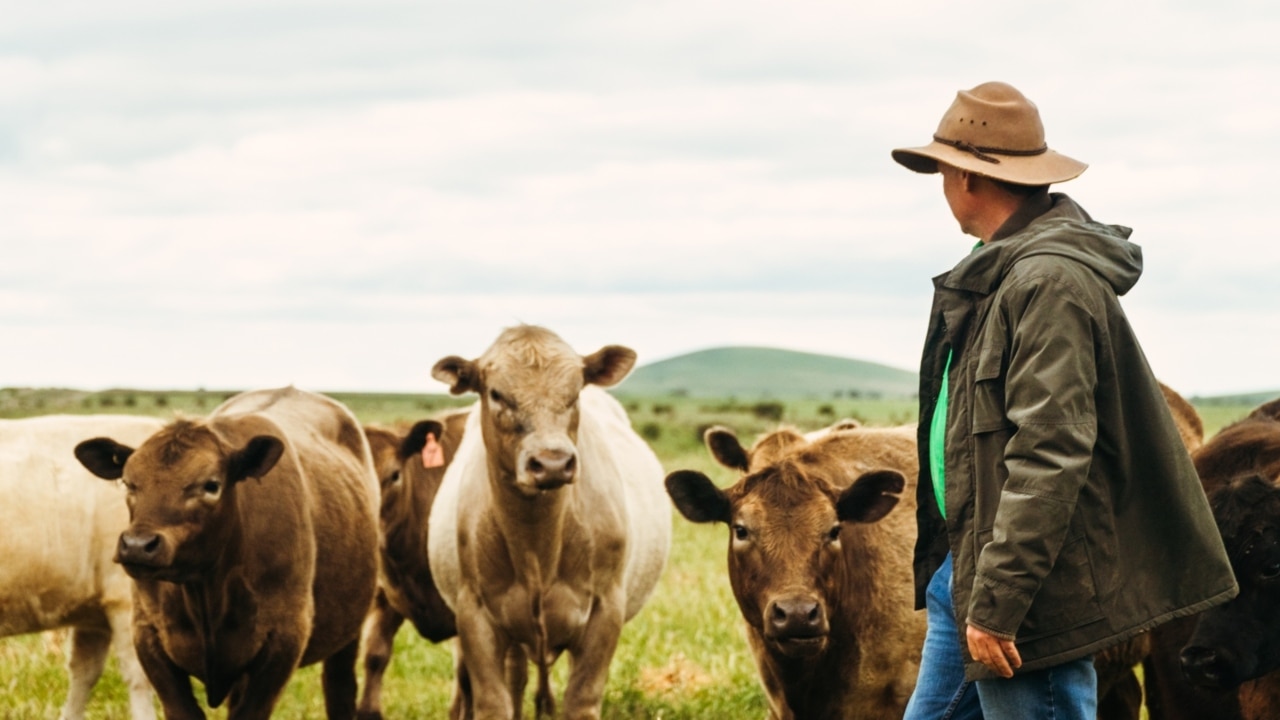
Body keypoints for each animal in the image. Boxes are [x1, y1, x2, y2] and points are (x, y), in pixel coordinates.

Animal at [73, 386, 378, 717]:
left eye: (211, 485)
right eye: (129, 484)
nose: (138, 546)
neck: (207, 591)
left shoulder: (284, 639)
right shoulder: (148, 635)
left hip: (348, 631)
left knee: (339, 686)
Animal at [427, 326, 670, 717]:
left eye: (575, 393)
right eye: (496, 393)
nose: (553, 463)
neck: (537, 542)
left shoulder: (605, 610)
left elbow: (581, 700)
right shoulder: (474, 615)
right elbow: (494, 702)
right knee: (516, 680)